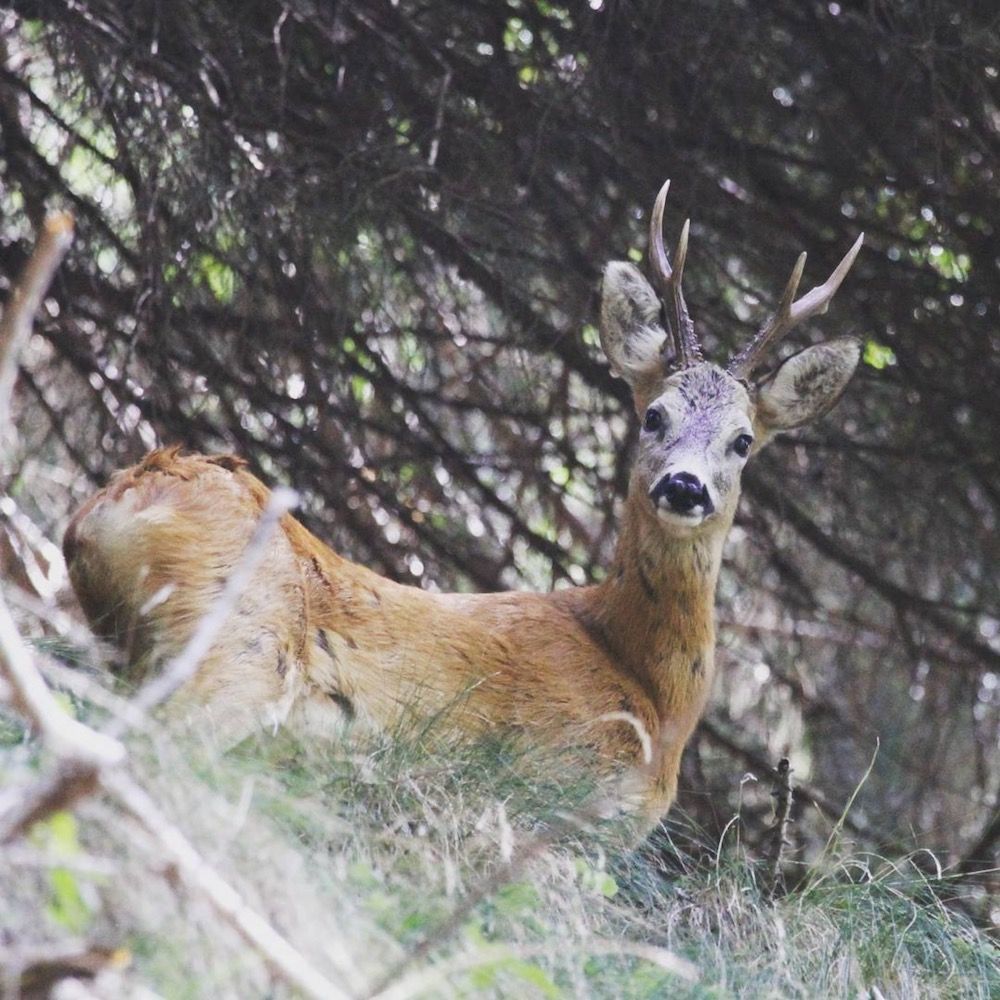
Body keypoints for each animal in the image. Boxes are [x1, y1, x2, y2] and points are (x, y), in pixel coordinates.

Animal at [62, 184, 864, 832]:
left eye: (743, 441)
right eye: (653, 415)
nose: (685, 487)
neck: (651, 696)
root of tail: (111, 505)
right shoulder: (556, 793)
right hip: (235, 646)